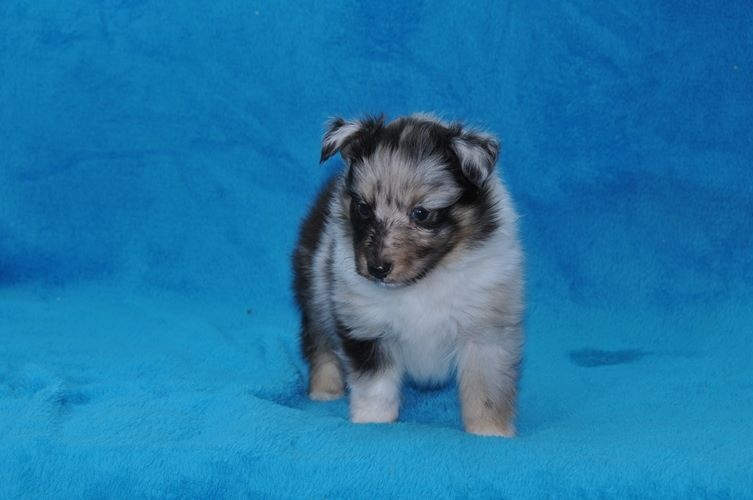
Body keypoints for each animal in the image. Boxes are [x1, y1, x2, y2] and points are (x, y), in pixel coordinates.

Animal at [293, 114, 523, 437]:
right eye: (363, 208)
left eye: (421, 213)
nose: (376, 268)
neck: (422, 281)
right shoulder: (367, 326)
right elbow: (375, 385)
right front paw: (372, 422)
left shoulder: (485, 331)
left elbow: (486, 390)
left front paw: (490, 432)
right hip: (314, 287)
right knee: (320, 340)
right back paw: (325, 389)